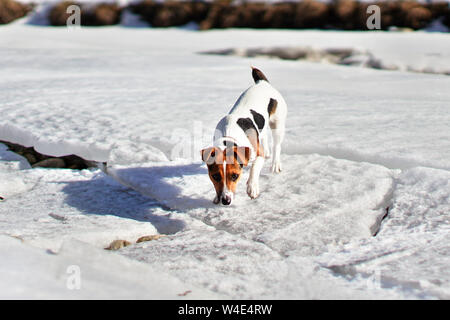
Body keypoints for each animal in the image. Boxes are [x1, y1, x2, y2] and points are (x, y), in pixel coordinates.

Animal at [201, 67, 286, 205]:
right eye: (215, 176)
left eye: (234, 176)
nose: (225, 200)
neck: (229, 136)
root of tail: (262, 82)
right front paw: (215, 197)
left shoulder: (258, 154)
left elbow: (255, 167)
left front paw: (252, 188)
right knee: (263, 137)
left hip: (277, 124)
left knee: (277, 145)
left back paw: (275, 165)